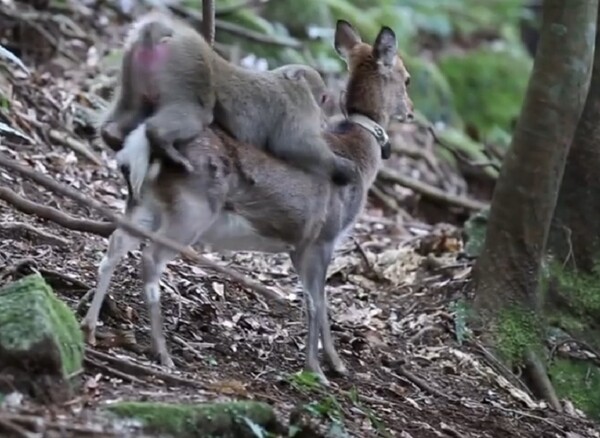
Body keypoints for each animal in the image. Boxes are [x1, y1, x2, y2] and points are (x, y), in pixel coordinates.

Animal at [101, 10, 358, 185]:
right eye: (323, 99)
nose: (324, 120)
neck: (291, 82)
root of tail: (163, 34)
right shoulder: (300, 106)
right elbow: (294, 144)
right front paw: (341, 167)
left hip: (131, 67)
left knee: (132, 108)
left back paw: (113, 133)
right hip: (188, 69)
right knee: (197, 114)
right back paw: (162, 141)